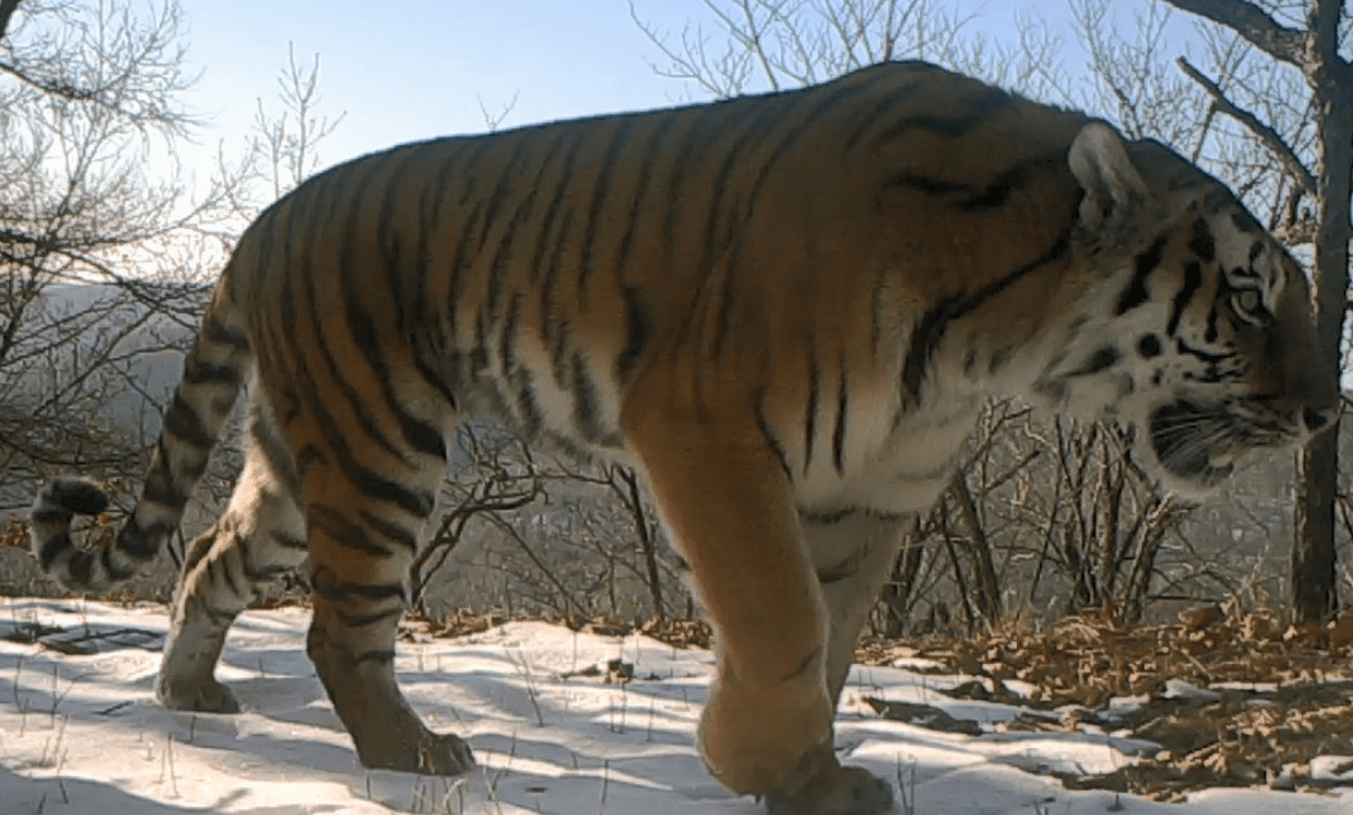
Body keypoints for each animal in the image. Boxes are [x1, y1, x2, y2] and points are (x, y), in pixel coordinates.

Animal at [30, 60, 1335, 815]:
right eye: (1249, 296)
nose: (1328, 410)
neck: (997, 337)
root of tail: (259, 223)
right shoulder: (710, 425)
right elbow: (783, 623)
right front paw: (745, 761)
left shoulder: (872, 491)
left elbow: (834, 641)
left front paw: (806, 779)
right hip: (379, 446)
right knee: (337, 627)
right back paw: (414, 752)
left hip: (305, 461)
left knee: (213, 556)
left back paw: (191, 691)